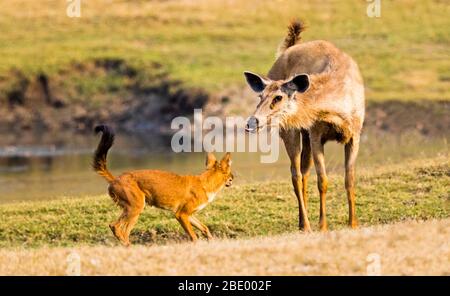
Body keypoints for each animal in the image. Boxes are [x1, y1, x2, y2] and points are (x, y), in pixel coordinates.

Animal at [243, 19, 366, 232]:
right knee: (296, 174)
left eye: (278, 97)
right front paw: (323, 225)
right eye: (260, 96)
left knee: (304, 170)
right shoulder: (317, 133)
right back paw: (306, 225)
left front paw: (353, 224)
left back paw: (303, 222)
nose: (252, 122)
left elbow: (349, 179)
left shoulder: (355, 134)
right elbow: (323, 181)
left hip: (304, 134)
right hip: (289, 130)